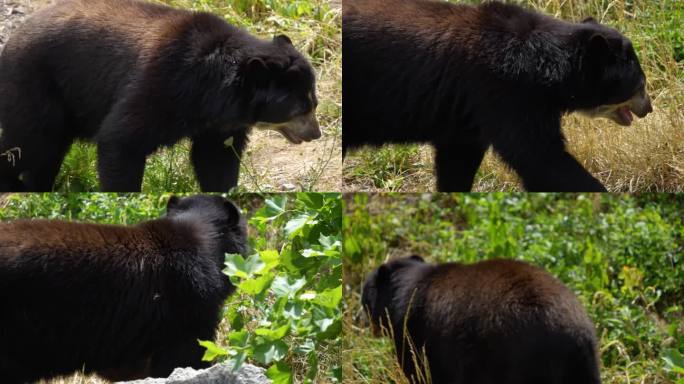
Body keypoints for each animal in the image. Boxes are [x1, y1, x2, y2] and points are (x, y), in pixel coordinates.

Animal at [0, 0, 320, 192]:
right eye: (299, 108)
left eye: (313, 103)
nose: (315, 134)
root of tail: (12, 40)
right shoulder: (161, 83)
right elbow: (121, 140)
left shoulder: (218, 124)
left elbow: (216, 158)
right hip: (36, 87)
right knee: (27, 144)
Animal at [344, 0, 656, 191]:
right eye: (639, 84)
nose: (649, 108)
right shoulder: (505, 93)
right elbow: (540, 158)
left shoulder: (465, 117)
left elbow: (458, 159)